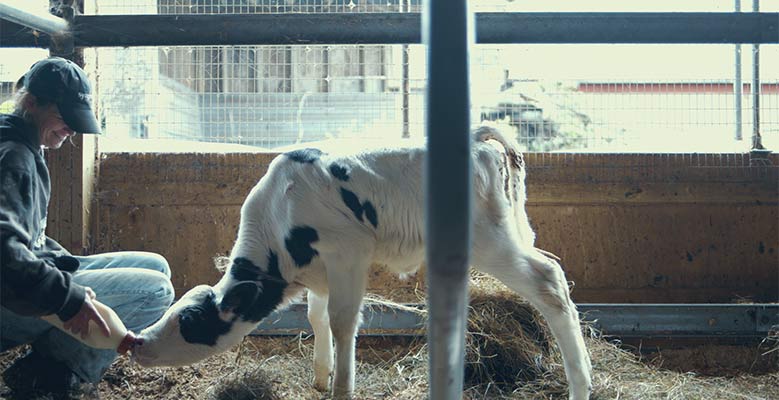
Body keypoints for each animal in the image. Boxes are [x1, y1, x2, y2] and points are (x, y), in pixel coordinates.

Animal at [132, 125, 592, 400]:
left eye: (190, 322)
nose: (137, 342)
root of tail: (479, 139)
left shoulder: (348, 253)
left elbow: (342, 322)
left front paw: (341, 387)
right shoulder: (320, 273)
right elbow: (316, 317)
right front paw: (320, 377)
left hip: (489, 241)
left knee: (549, 280)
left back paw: (580, 384)